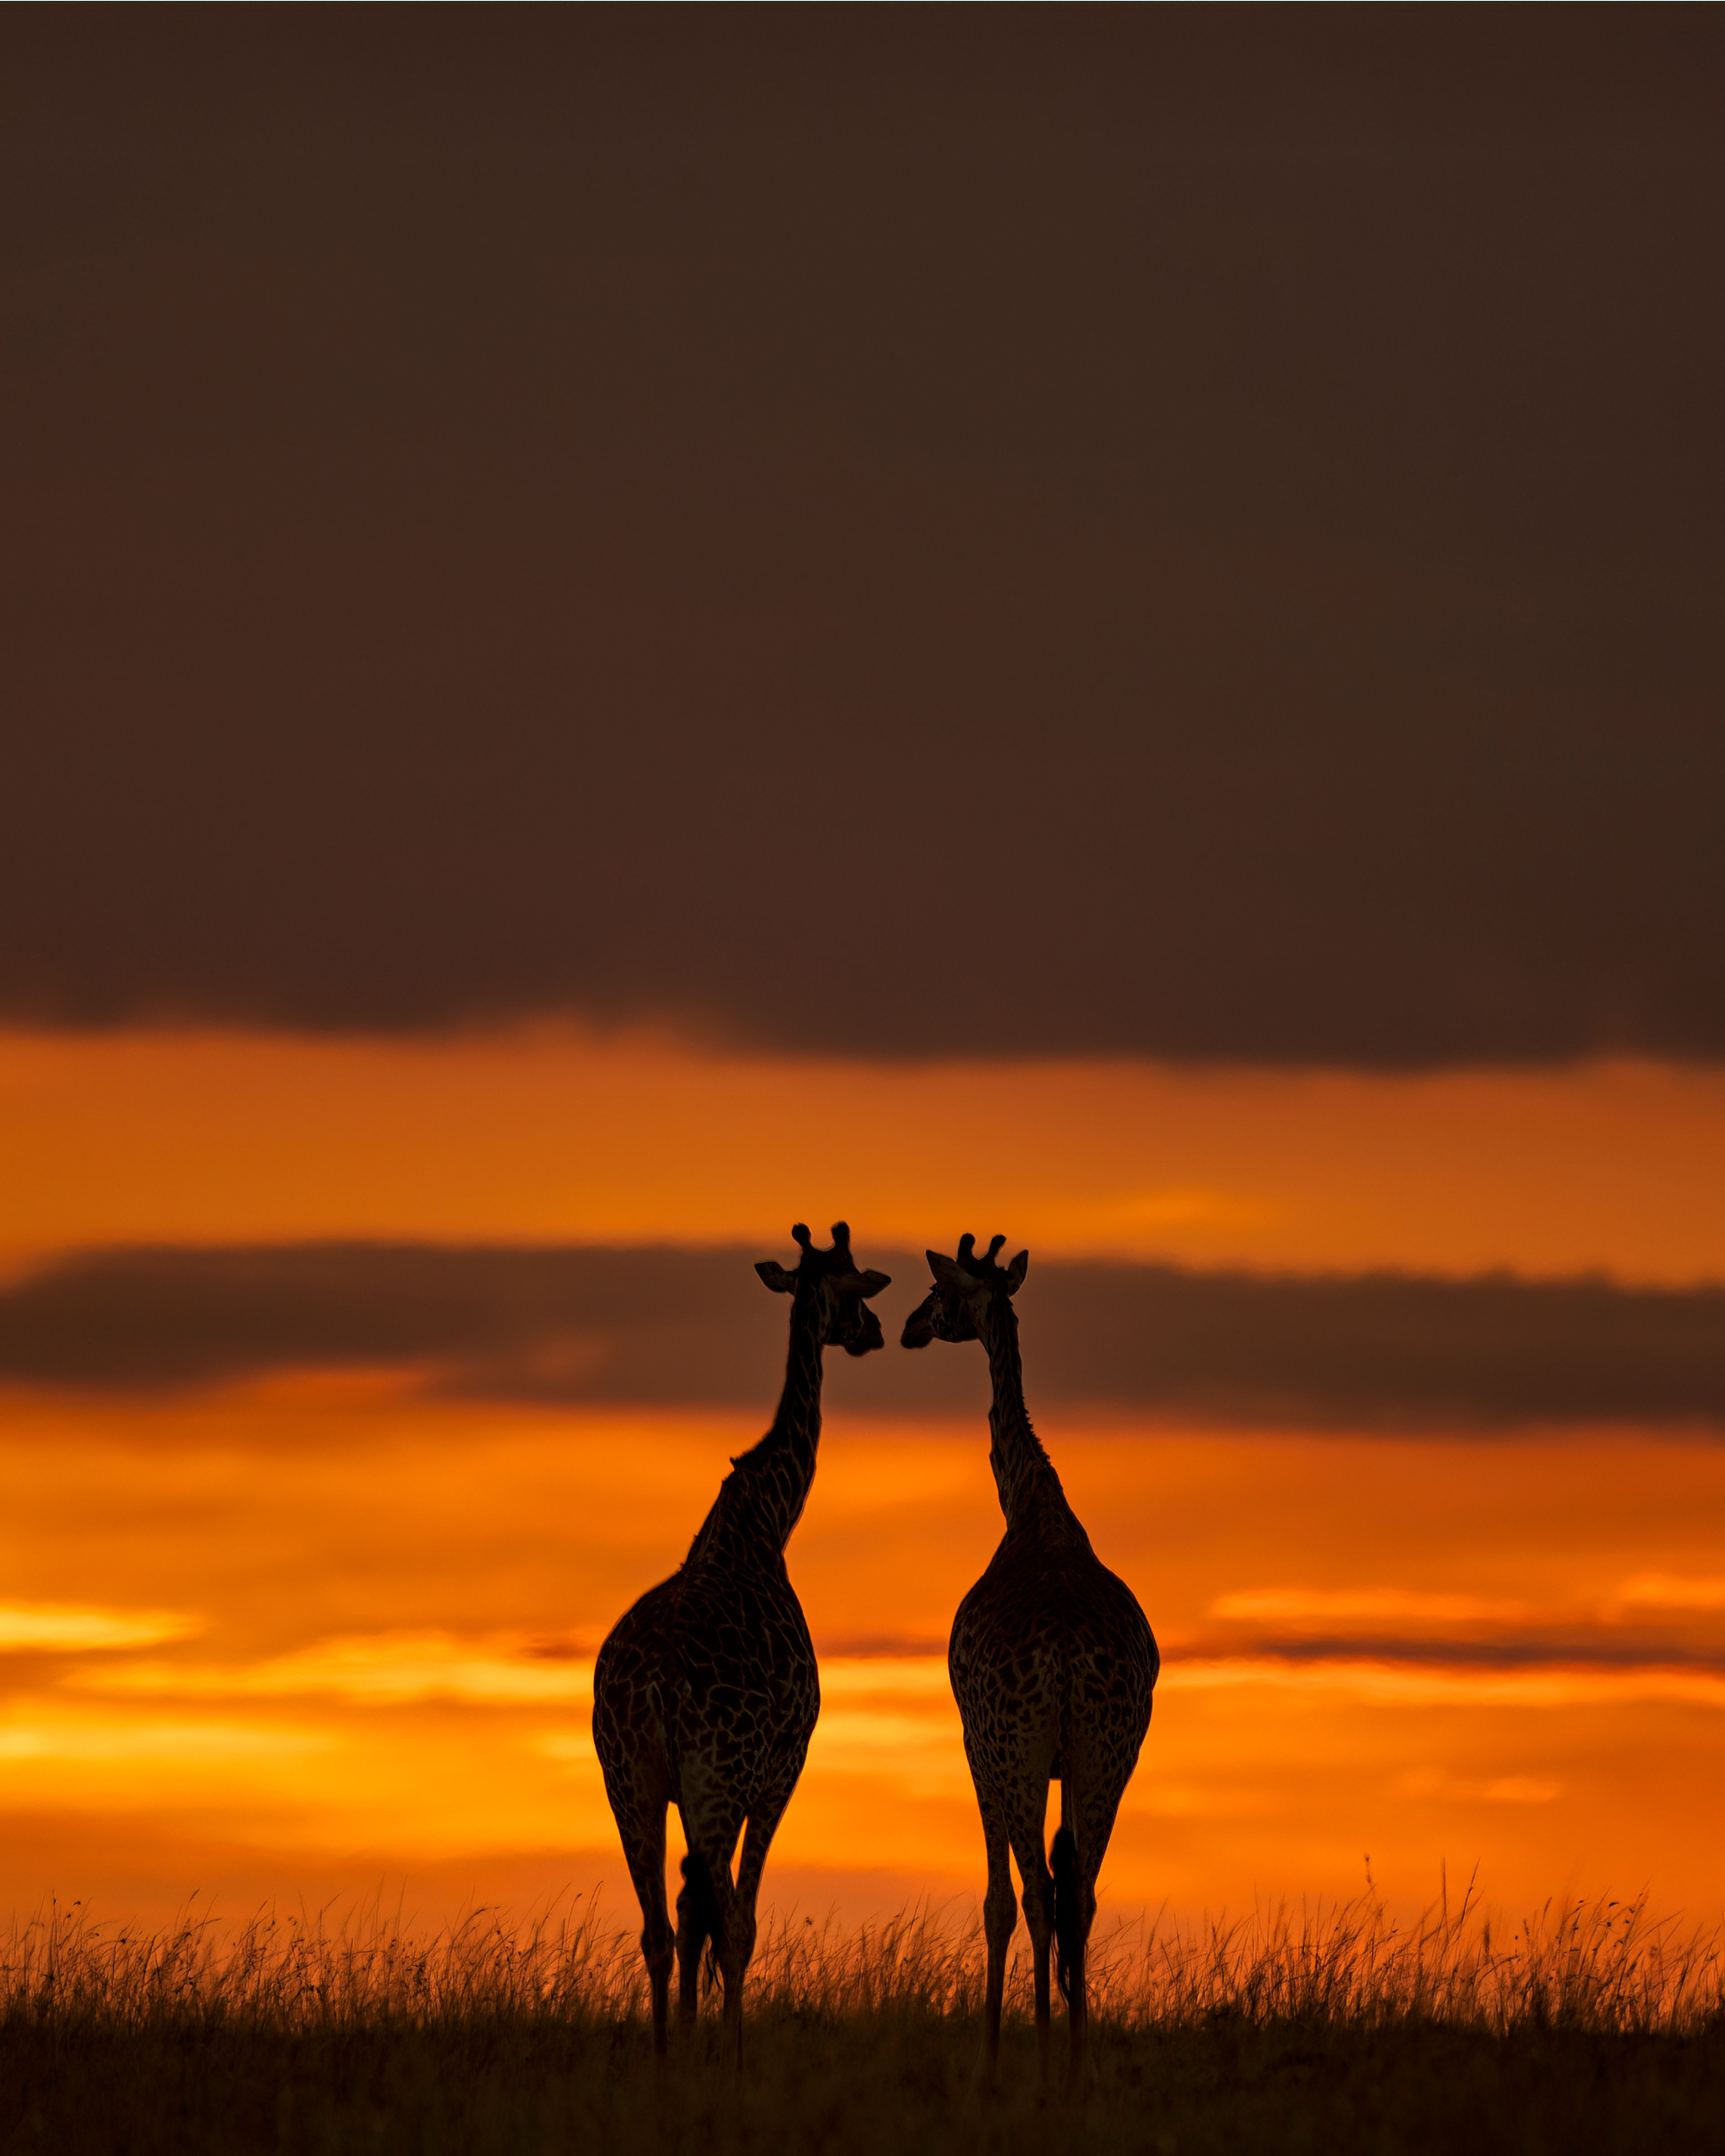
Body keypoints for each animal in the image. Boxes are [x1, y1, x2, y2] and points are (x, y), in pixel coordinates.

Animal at [595, 1224, 888, 2061]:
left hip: (626, 1779)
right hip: (715, 1780)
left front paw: (693, 2037)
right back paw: (714, 2055)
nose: (875, 1331)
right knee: (721, 1916)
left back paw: (665, 2059)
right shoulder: (781, 1768)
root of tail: (655, 1685)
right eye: (855, 1283)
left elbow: (689, 1912)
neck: (763, 1523)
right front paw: (724, 2047)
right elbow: (739, 1920)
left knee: (660, 1926)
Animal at [901, 1242, 1155, 2095]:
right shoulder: (1071, 1763)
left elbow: (998, 1901)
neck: (1031, 1506)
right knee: (1081, 1892)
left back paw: (1042, 2067)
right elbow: (1068, 1888)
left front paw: (988, 2062)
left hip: (1016, 1749)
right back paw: (1074, 2066)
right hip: (1111, 1751)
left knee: (1039, 1894)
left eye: (940, 1289)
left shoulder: (977, 1744)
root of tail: (1069, 1657)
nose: (908, 1326)